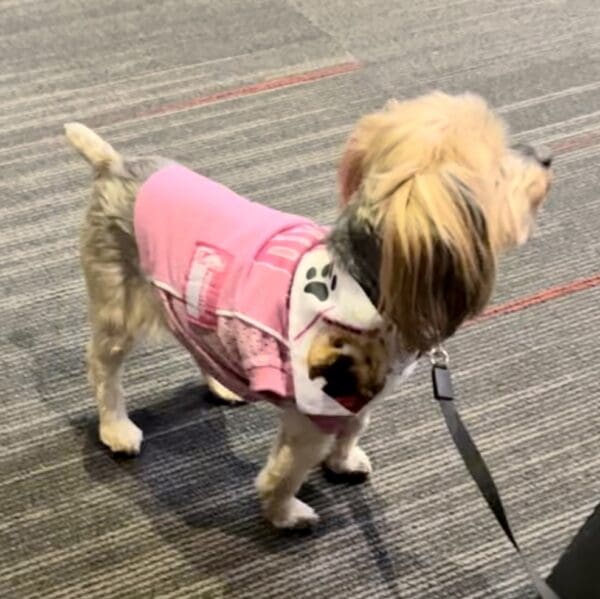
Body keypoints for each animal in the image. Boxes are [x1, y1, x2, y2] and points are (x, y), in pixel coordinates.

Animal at [65, 90, 552, 528]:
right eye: (501, 166)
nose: (546, 157)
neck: (365, 283)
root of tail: (113, 164)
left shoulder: (357, 398)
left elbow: (354, 427)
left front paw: (343, 462)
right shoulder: (310, 418)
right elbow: (285, 474)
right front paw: (285, 514)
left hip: (188, 301)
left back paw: (222, 382)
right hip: (118, 303)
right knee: (102, 368)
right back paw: (117, 428)